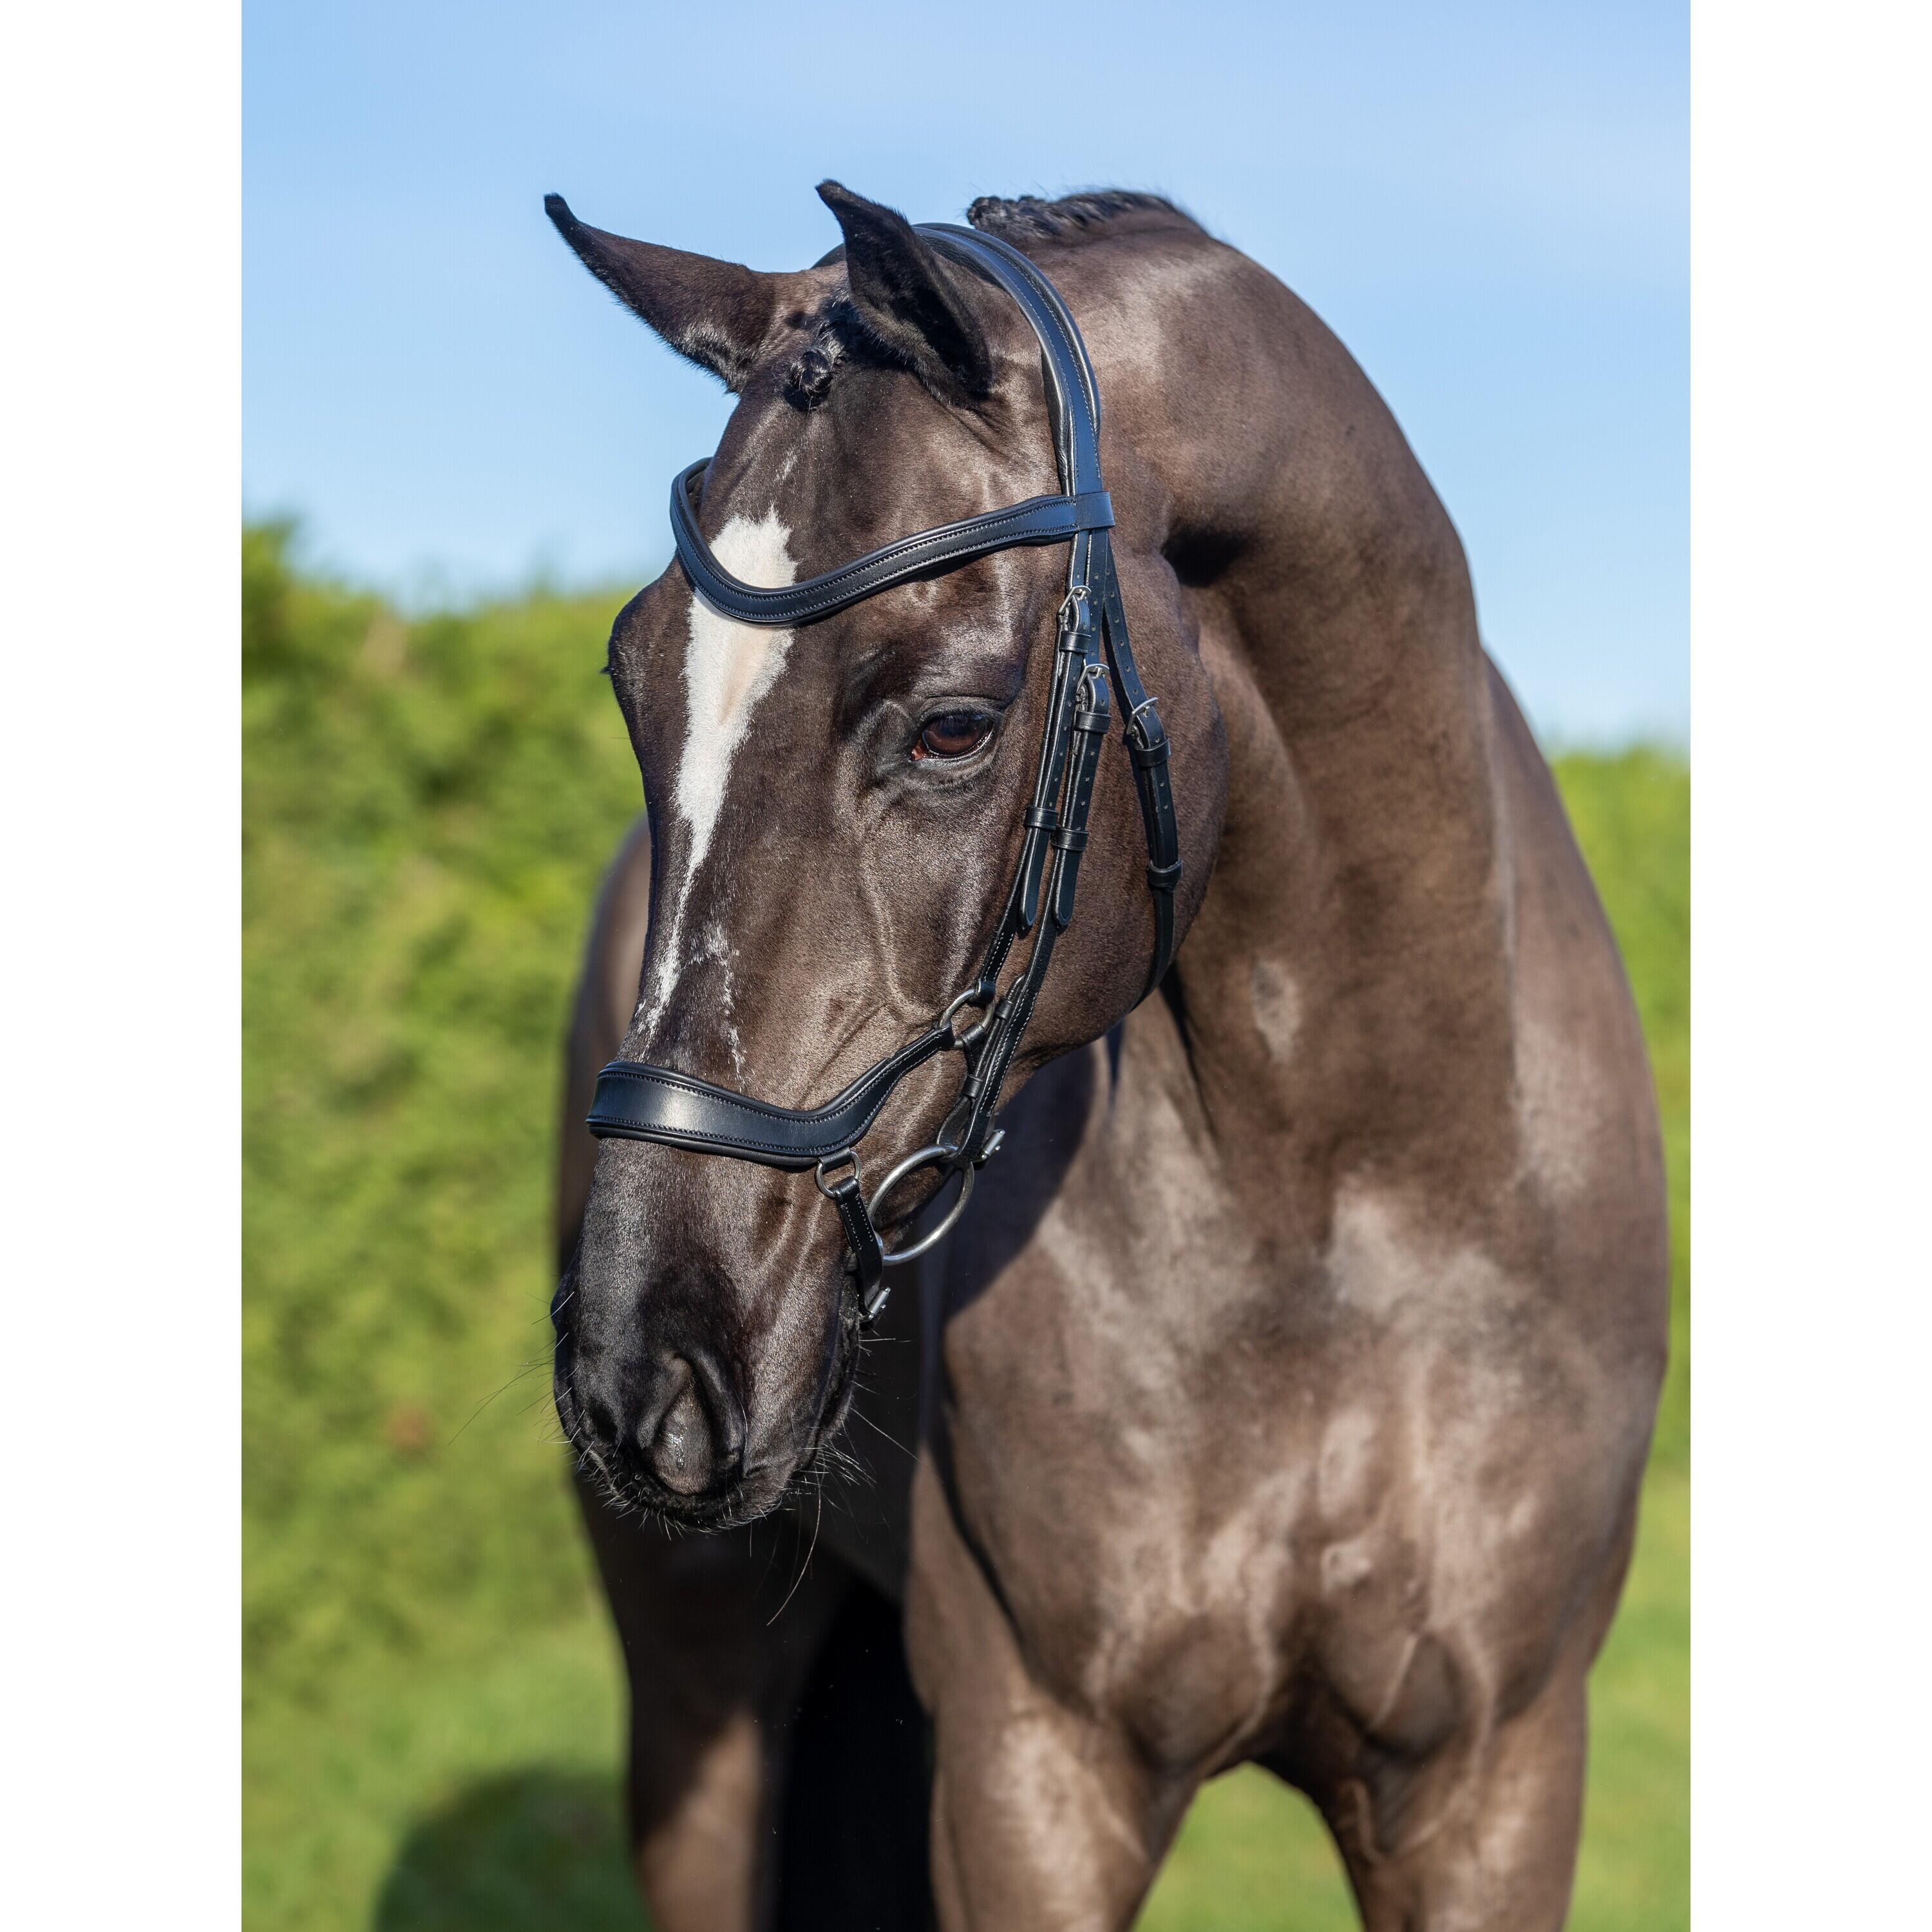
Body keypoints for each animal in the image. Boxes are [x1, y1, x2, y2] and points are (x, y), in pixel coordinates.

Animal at [546, 182, 1668, 1932]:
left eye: (951, 724)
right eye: (634, 680)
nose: (641, 1369)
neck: (1342, 1194)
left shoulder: (1492, 1783)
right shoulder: (1034, 1779)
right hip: (697, 1682)